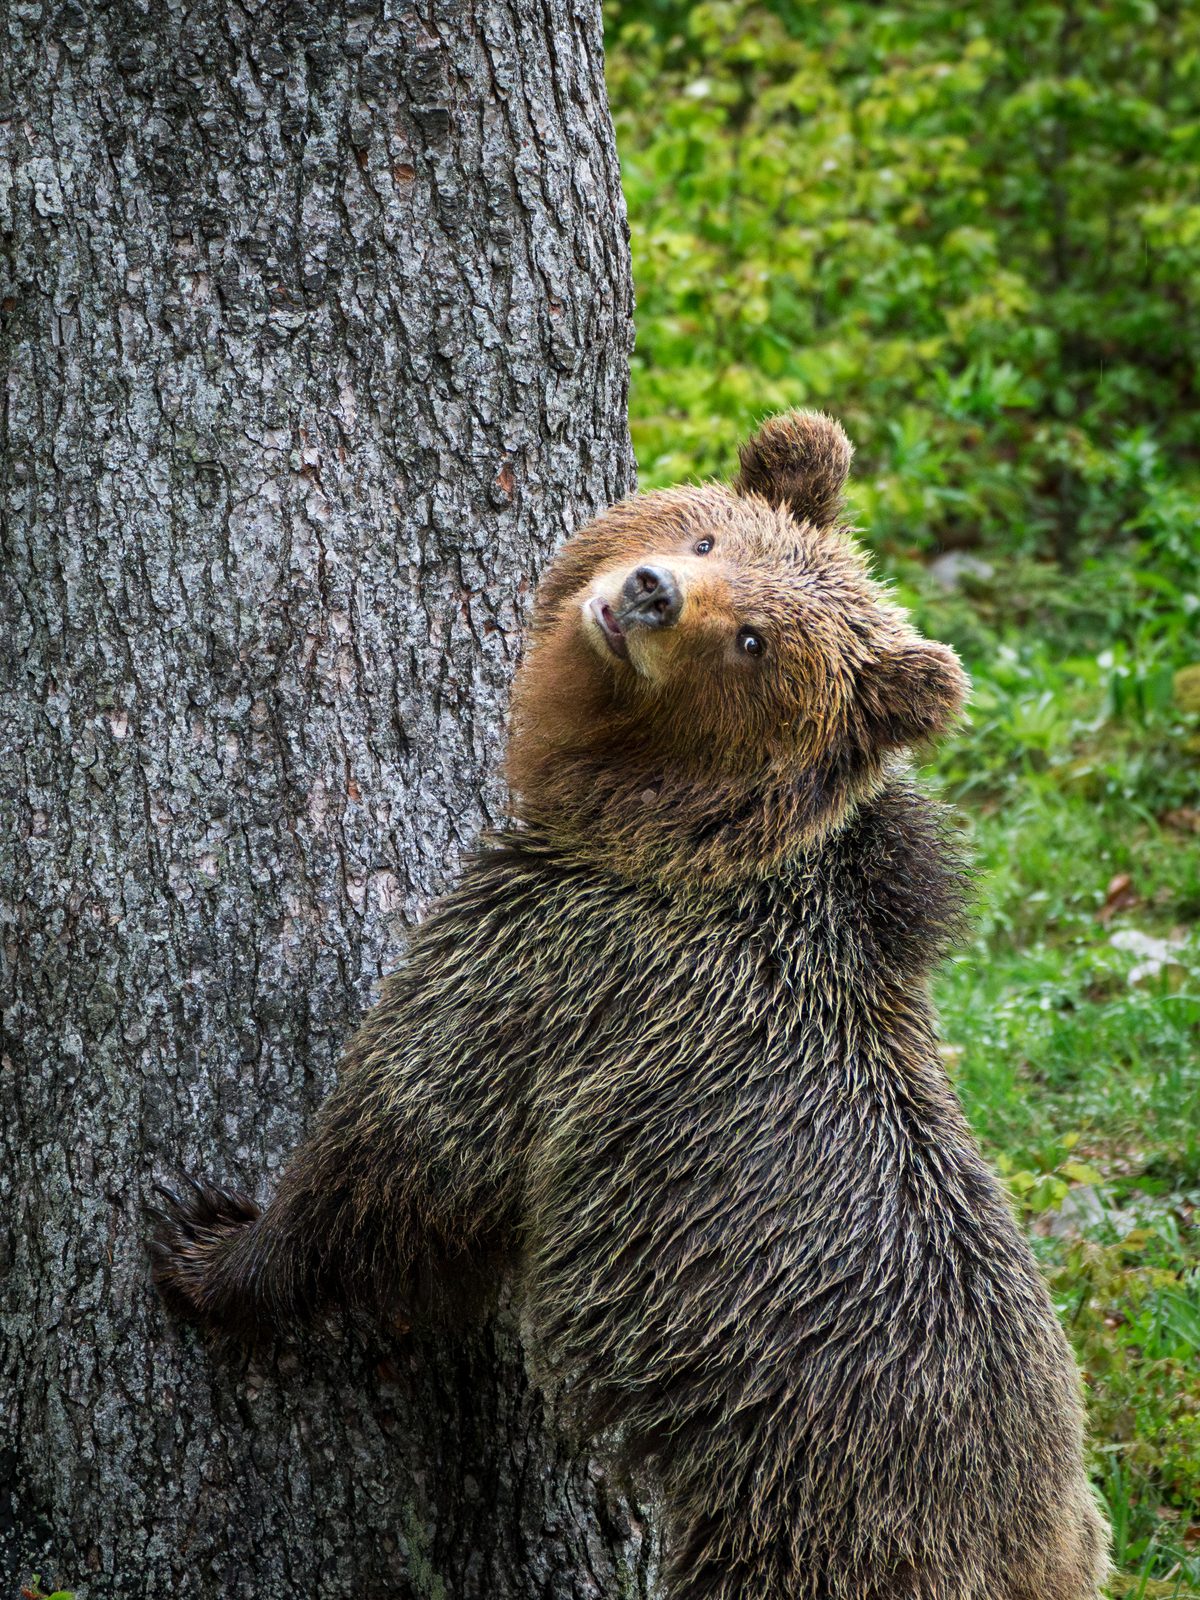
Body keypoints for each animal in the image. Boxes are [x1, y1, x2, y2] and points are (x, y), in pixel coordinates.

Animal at [151, 411, 1110, 1600]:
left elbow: (406, 1149)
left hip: (812, 1517)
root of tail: (1028, 1536)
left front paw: (211, 1248)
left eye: (754, 640)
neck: (649, 829)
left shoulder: (552, 962)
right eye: (707, 535)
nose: (649, 590)